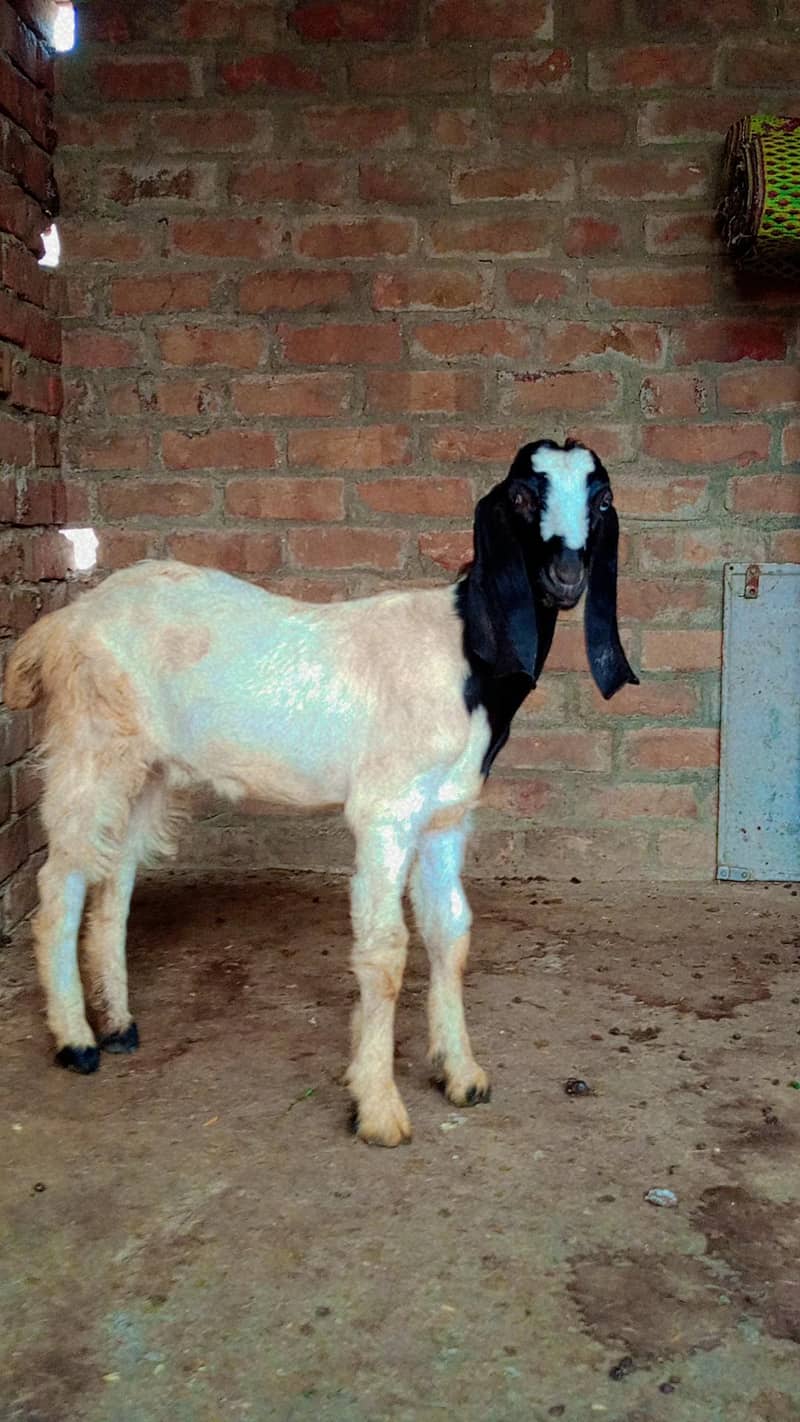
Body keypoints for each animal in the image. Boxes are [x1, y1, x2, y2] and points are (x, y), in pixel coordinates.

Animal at [4, 439, 637, 1146]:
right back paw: (76, 1041)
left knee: (114, 881)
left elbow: (451, 934)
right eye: (523, 496)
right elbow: (386, 951)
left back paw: (118, 1025)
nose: (566, 576)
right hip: (92, 745)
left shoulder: (444, 818)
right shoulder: (387, 811)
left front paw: (462, 1073)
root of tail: (63, 623)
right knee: (61, 883)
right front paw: (378, 1107)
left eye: (602, 500)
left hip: (150, 767)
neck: (464, 652)